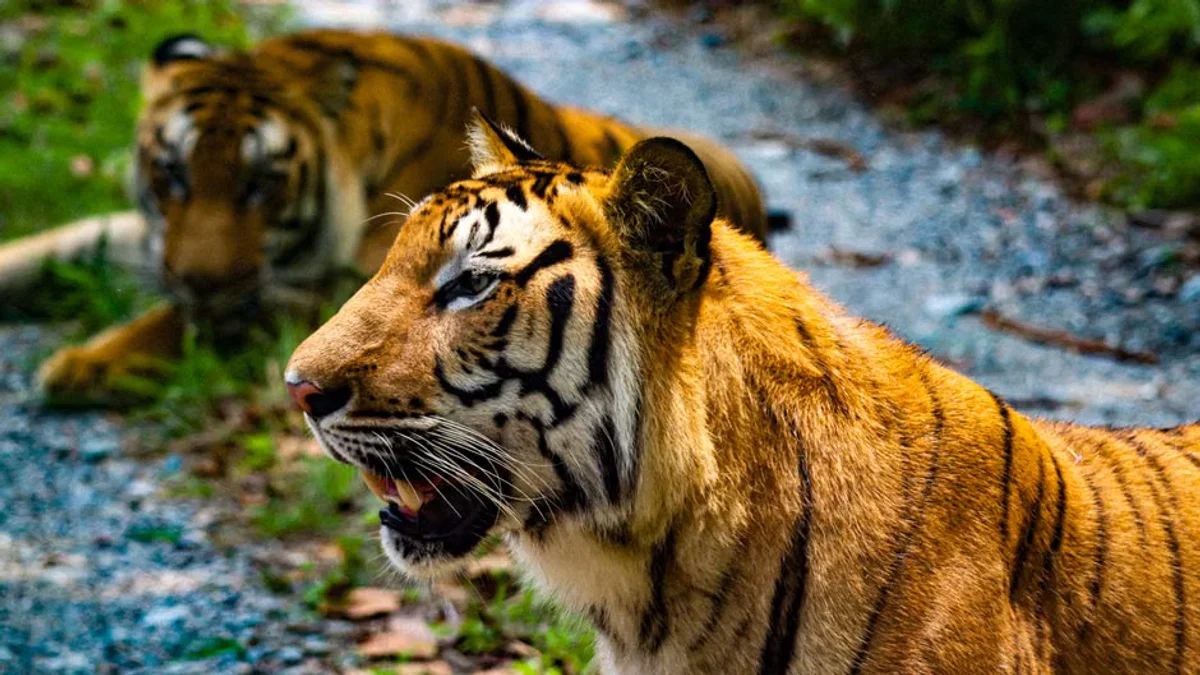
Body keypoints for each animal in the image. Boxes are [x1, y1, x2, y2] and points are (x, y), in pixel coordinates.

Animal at [3, 28, 775, 404]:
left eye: (260, 185)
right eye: (172, 174)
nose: (200, 281)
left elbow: (194, 317)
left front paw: (82, 365)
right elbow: (55, 246)